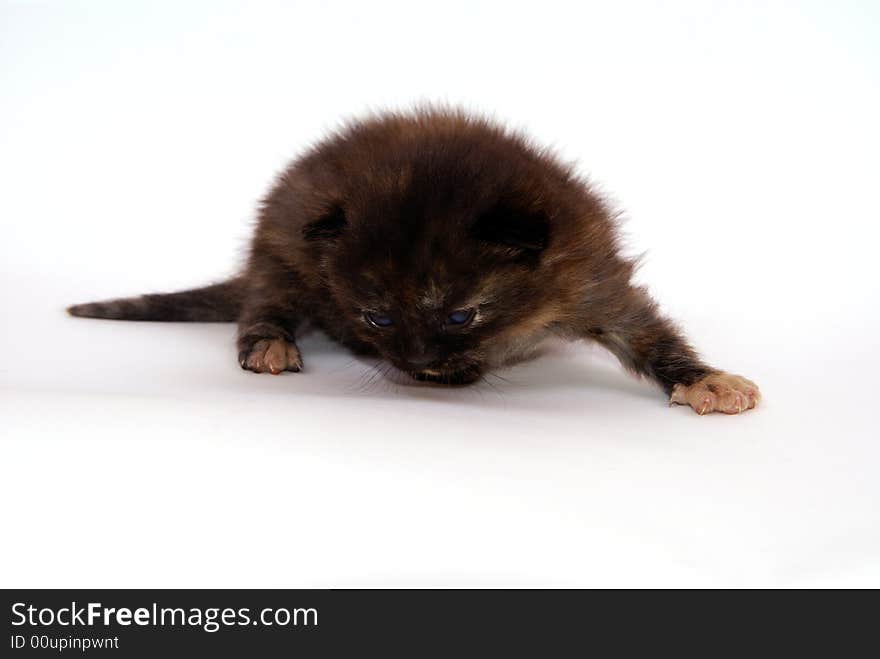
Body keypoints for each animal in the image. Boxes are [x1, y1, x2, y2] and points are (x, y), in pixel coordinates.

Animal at [69, 110, 760, 416]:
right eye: (376, 318)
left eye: (459, 316)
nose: (418, 361)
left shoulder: (587, 276)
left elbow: (646, 333)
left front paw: (704, 379)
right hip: (280, 253)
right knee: (263, 299)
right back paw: (268, 342)